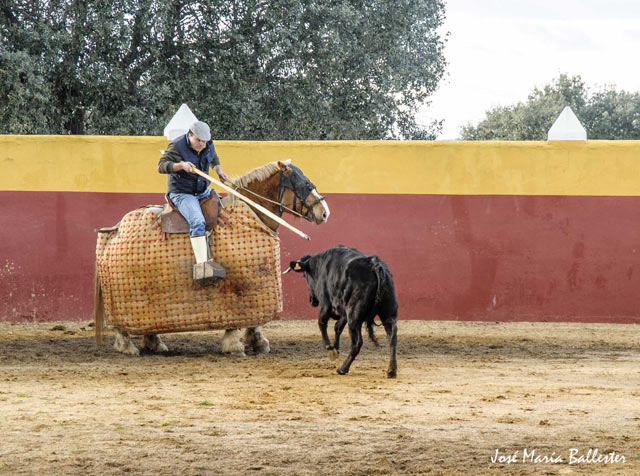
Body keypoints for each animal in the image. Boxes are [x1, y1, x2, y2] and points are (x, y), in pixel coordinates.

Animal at [95, 158, 330, 356]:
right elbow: (236, 317)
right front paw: (235, 345)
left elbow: (254, 318)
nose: (324, 212)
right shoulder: (239, 287)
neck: (253, 212)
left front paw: (258, 341)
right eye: (306, 184)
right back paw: (127, 346)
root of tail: (115, 229)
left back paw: (155, 343)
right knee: (120, 325)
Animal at [288, 247, 398, 378]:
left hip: (354, 316)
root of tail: (375, 266)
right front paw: (336, 348)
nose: (312, 300)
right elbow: (338, 327)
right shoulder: (344, 310)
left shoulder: (325, 303)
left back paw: (343, 368)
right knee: (392, 338)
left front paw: (331, 350)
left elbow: (322, 323)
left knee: (357, 343)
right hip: (387, 314)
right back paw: (391, 370)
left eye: (305, 276)